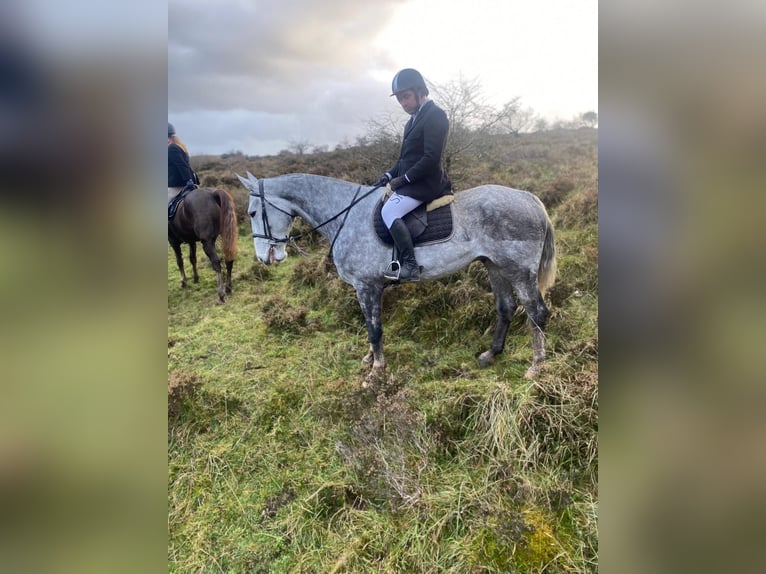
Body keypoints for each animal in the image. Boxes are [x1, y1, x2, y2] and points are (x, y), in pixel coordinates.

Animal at [240, 176, 560, 382]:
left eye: (253, 212)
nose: (264, 257)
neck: (346, 215)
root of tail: (529, 198)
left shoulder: (366, 287)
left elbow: (374, 329)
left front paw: (376, 371)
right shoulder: (367, 288)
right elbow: (371, 327)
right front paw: (370, 360)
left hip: (519, 270)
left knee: (536, 313)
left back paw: (536, 366)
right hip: (495, 266)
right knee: (506, 308)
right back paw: (490, 355)